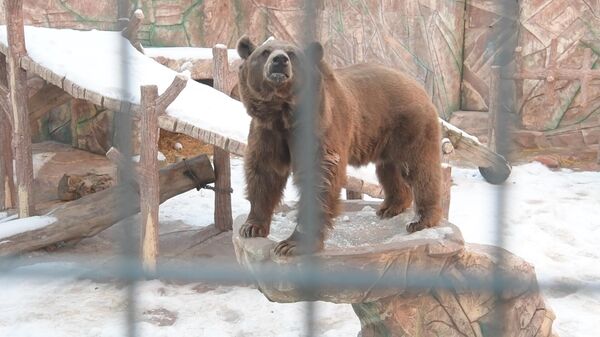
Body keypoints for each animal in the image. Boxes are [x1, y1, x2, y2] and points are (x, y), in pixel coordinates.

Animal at [237, 36, 442, 255]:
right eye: (265, 51)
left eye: (292, 54)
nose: (279, 60)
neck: (282, 114)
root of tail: (417, 85)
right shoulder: (267, 132)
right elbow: (264, 173)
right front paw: (251, 226)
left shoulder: (320, 125)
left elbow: (319, 177)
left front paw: (290, 244)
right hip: (387, 138)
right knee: (389, 170)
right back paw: (390, 207)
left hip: (410, 125)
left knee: (418, 169)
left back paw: (421, 220)